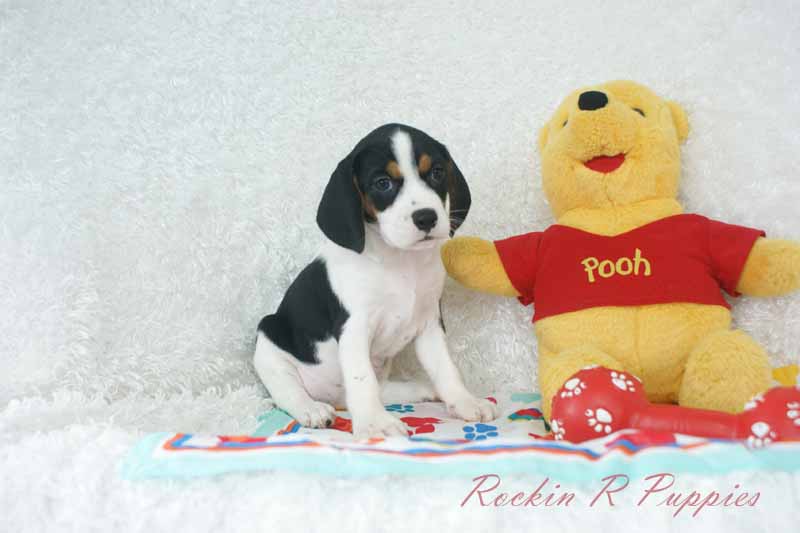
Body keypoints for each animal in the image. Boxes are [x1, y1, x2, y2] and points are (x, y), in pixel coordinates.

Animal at [253, 124, 497, 439]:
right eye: (382, 183)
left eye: (437, 173)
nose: (426, 217)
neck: (400, 260)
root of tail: (334, 398)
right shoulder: (354, 327)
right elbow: (362, 378)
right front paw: (375, 424)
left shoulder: (430, 323)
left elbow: (445, 368)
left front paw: (464, 401)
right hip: (268, 344)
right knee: (289, 391)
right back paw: (313, 409)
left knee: (380, 389)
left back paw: (420, 388)